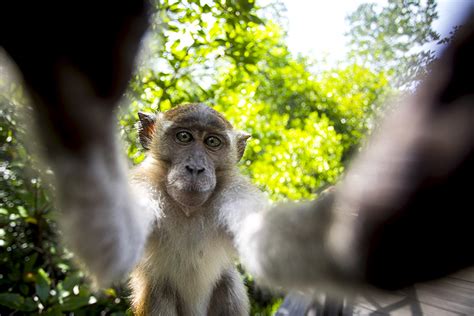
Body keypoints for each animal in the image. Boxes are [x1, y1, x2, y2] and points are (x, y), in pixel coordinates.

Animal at [126, 103, 268, 314]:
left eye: (212, 141)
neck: (188, 210)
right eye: (184, 137)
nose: (195, 168)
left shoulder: (237, 193)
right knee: (159, 293)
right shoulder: (143, 187)